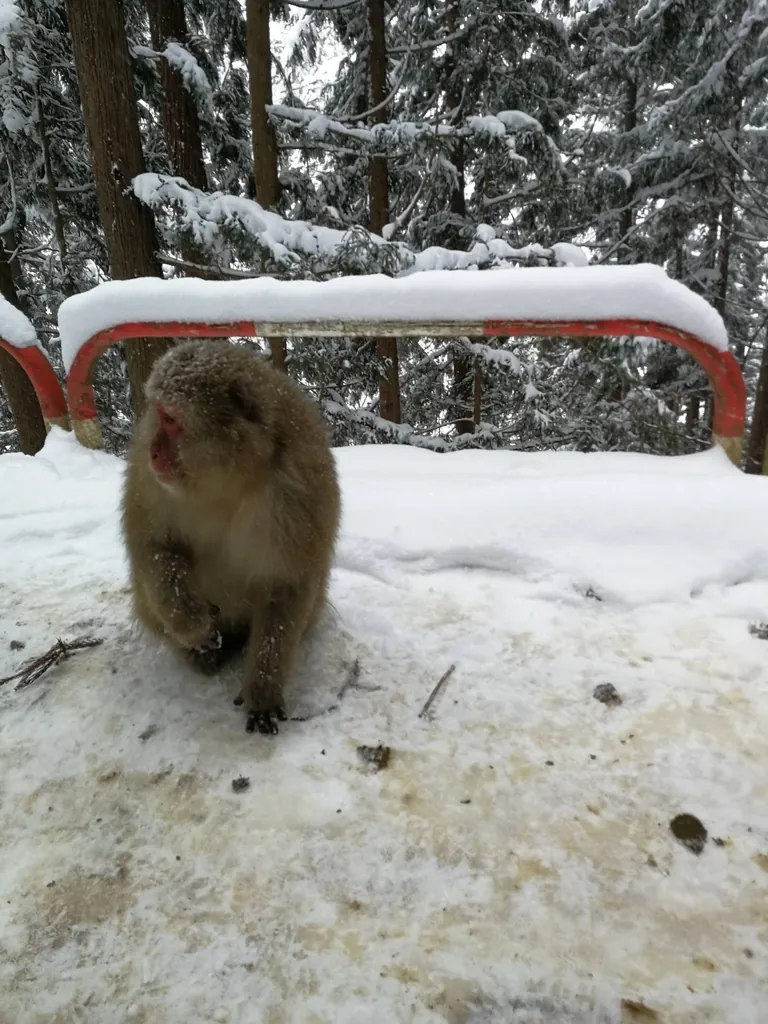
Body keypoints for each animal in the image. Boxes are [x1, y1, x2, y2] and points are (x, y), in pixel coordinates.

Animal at [120, 339, 341, 735]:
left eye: (172, 420)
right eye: (158, 413)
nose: (153, 451)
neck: (229, 483)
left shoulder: (300, 495)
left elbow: (289, 586)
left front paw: (263, 689)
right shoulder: (149, 483)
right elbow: (154, 546)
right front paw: (192, 623)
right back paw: (201, 651)